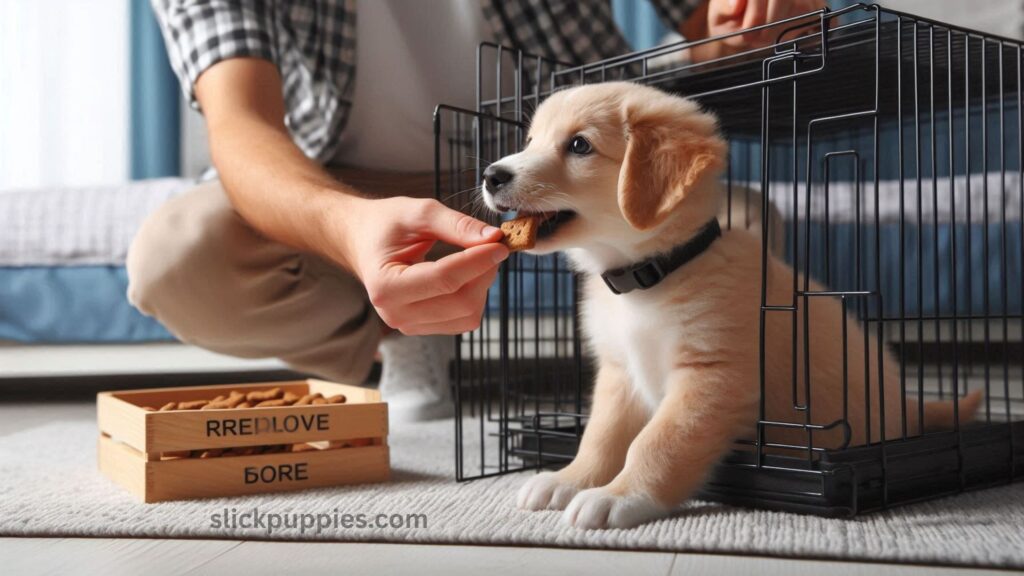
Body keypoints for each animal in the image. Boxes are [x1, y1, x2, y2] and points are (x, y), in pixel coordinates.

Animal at [481, 81, 983, 528]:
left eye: (579, 145)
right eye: (531, 141)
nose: (491, 175)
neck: (650, 276)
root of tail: (907, 409)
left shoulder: (713, 377)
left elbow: (657, 442)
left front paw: (620, 496)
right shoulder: (620, 373)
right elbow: (600, 437)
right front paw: (570, 480)